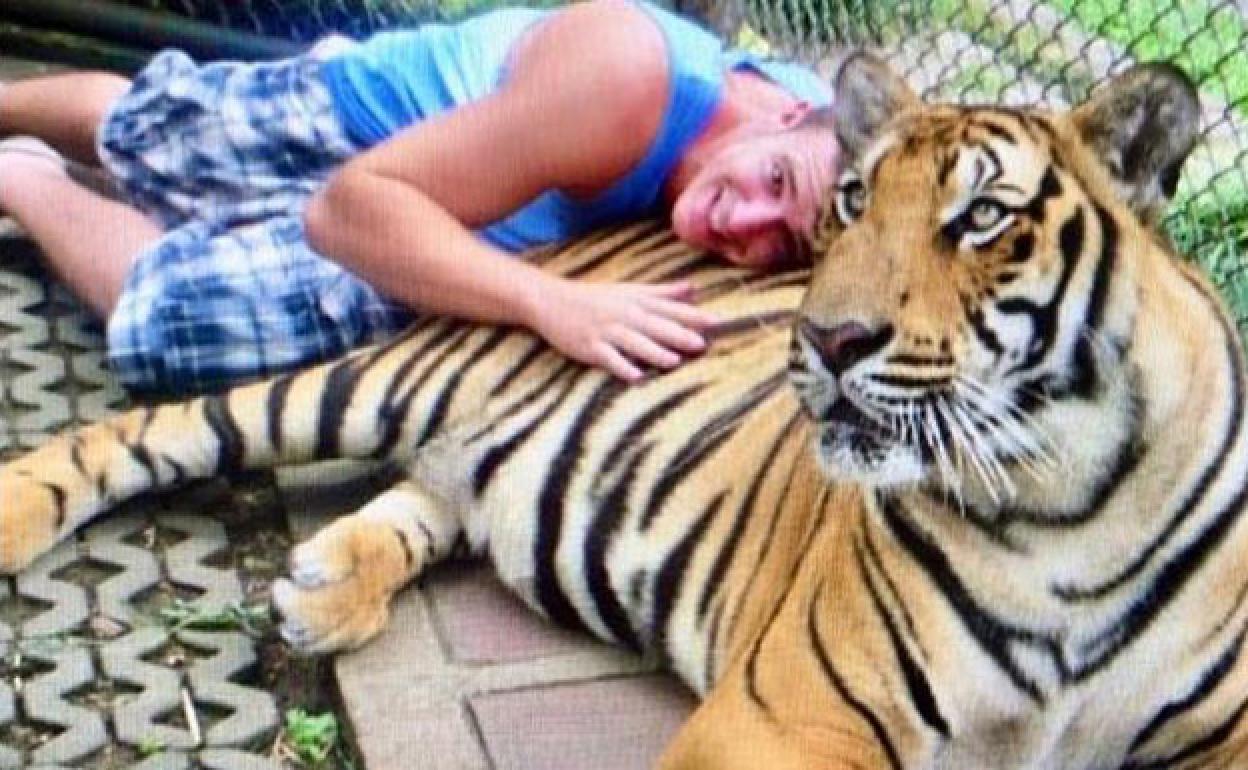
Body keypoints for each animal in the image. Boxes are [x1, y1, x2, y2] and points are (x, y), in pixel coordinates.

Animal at [2, 52, 1248, 763]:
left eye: (981, 217)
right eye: (851, 200)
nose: (826, 338)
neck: (1070, 501)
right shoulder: (789, 711)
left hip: (470, 457)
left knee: (424, 497)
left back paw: (324, 588)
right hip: (369, 377)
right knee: (148, 428)